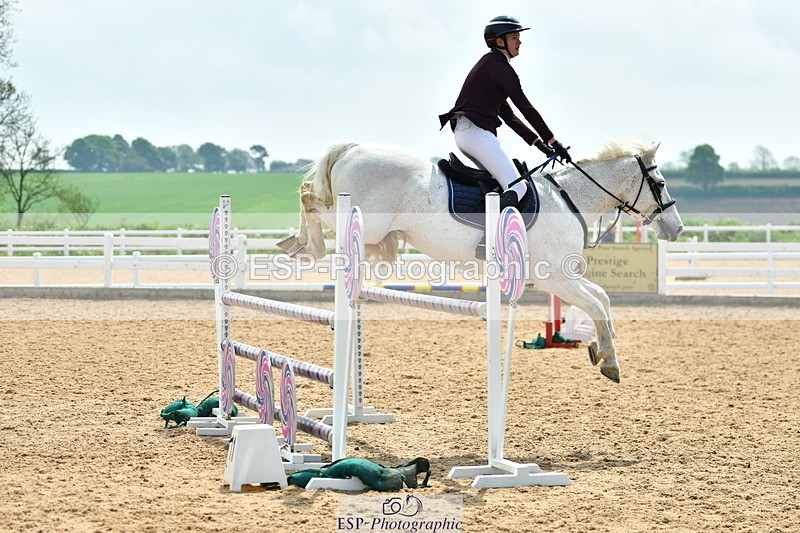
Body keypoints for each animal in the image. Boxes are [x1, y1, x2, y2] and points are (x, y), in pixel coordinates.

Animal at [277, 141, 684, 383]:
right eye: (661, 184)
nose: (676, 228)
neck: (570, 197)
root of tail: (353, 148)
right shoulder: (553, 278)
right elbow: (597, 303)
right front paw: (610, 360)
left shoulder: (563, 276)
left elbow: (602, 298)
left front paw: (600, 348)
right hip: (362, 220)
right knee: (310, 199)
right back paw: (307, 245)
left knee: (308, 197)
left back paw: (297, 243)